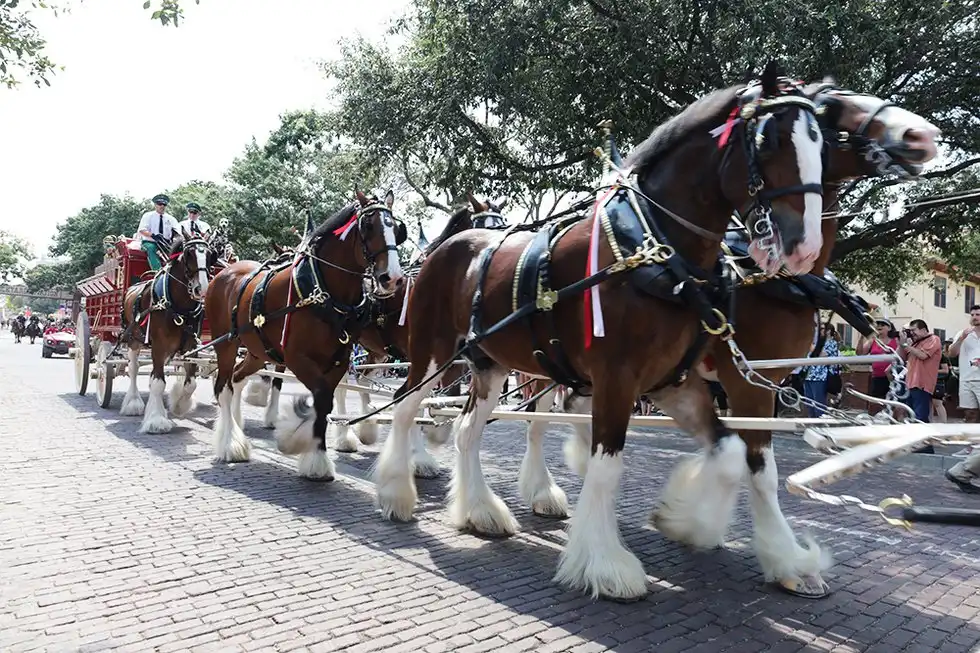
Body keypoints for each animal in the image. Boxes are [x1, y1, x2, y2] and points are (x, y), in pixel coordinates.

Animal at [205, 188, 404, 478]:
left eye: (397, 230)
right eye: (368, 226)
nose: (393, 278)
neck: (322, 290)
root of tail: (225, 273)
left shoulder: (338, 360)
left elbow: (325, 403)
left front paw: (316, 455)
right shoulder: (297, 358)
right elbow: (320, 398)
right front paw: (304, 446)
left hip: (256, 351)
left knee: (237, 379)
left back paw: (237, 431)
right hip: (226, 344)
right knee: (224, 386)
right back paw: (230, 444)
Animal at [376, 67, 828, 600]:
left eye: (822, 141)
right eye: (771, 139)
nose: (806, 246)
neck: (653, 249)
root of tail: (443, 251)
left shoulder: (672, 382)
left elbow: (734, 453)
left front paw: (690, 522)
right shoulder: (618, 377)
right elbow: (608, 465)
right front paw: (607, 564)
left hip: (490, 364)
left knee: (467, 430)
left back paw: (480, 512)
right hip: (431, 353)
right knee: (405, 409)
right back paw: (396, 492)